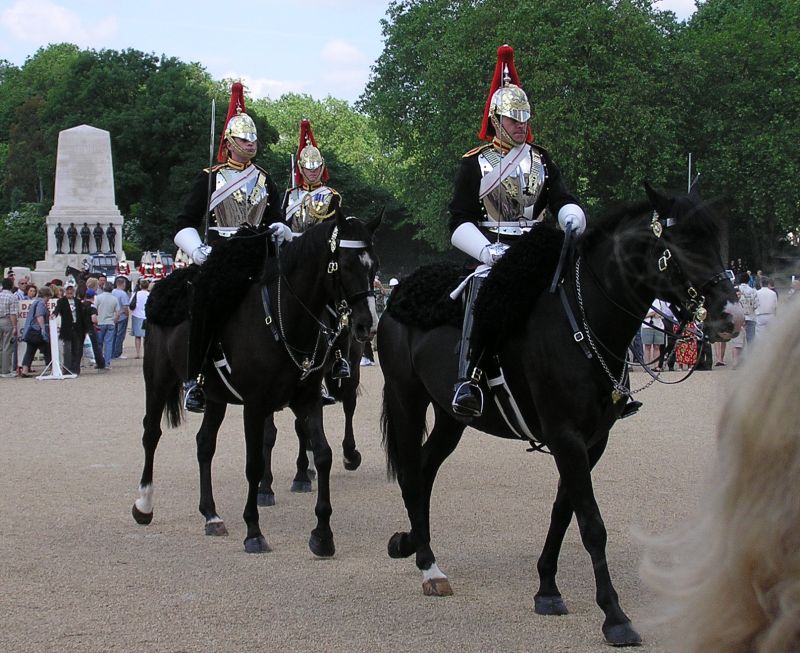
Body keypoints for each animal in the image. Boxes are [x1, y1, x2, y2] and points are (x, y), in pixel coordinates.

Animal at [132, 210, 382, 556]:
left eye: (374, 266)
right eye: (343, 265)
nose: (366, 325)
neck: (283, 316)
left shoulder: (307, 398)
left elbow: (322, 453)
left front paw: (322, 534)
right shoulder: (255, 404)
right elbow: (254, 461)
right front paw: (254, 530)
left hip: (217, 397)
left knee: (204, 444)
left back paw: (211, 515)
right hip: (157, 379)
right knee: (151, 434)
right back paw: (144, 504)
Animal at [378, 186, 740, 644]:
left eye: (715, 241)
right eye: (680, 246)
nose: (732, 316)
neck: (584, 324)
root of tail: (399, 295)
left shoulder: (591, 441)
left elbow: (564, 512)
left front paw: (547, 589)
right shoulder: (566, 436)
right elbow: (592, 524)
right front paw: (615, 615)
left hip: (449, 417)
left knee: (425, 471)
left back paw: (413, 544)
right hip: (407, 400)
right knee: (411, 473)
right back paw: (428, 566)